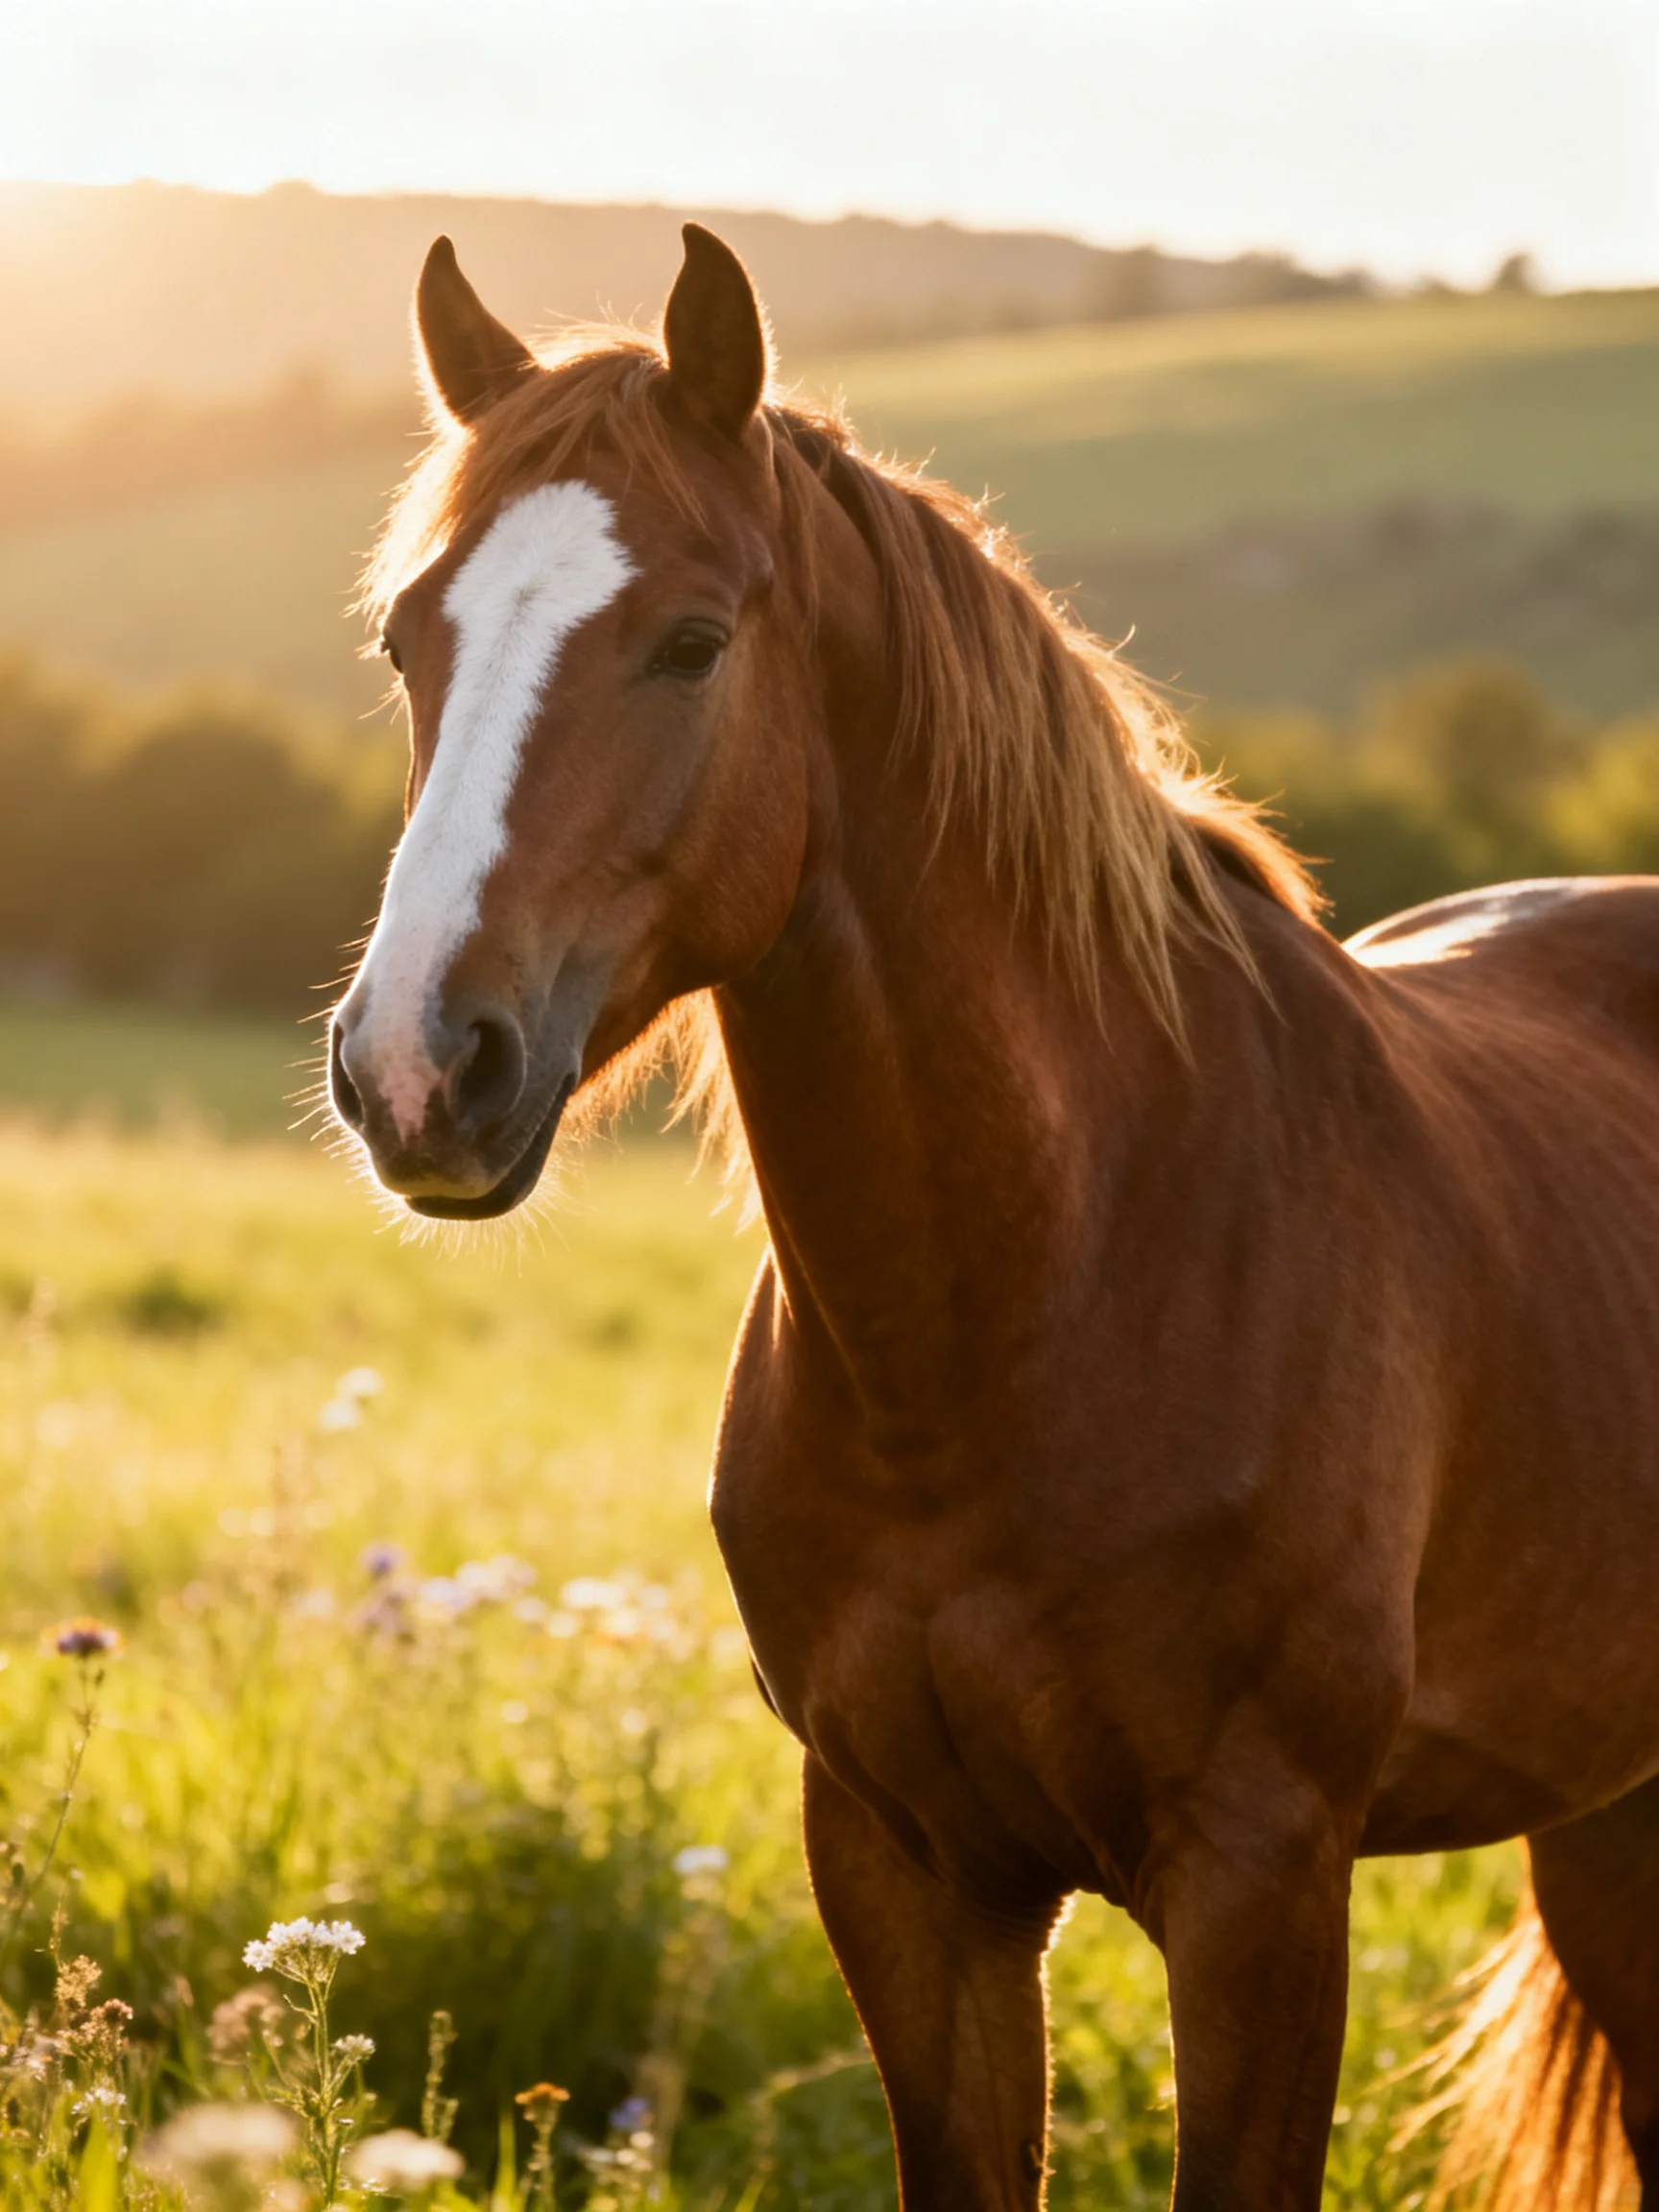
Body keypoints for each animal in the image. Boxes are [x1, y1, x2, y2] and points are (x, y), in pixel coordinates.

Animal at [328, 224, 1659, 2212]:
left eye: (689, 641)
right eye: (411, 636)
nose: (417, 1064)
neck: (1027, 1299)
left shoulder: (1260, 1876)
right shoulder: (905, 1866)